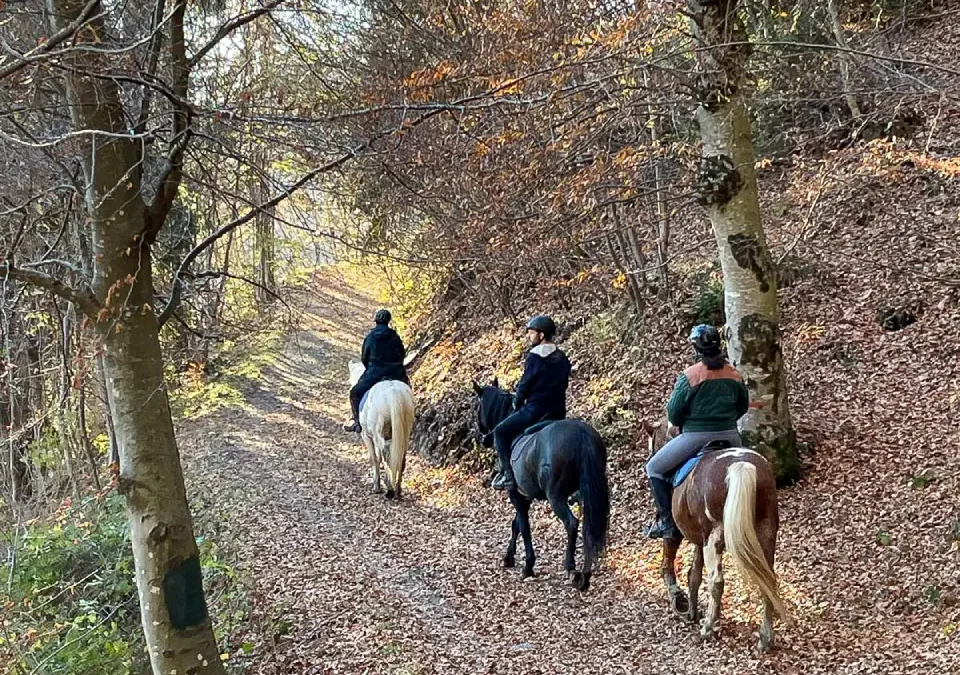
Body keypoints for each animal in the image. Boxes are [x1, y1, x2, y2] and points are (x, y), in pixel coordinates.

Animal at [348, 360, 416, 499]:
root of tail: (393, 393)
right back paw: (397, 490)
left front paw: (376, 486)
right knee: (400, 457)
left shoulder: (367, 436)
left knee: (386, 456)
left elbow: (375, 458)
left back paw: (389, 489)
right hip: (405, 432)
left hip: (378, 434)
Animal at [472, 379, 610, 591]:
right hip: (588, 494)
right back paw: (584, 576)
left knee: (572, 523)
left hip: (556, 496)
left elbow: (524, 526)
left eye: (477, 406)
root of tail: (582, 434)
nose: (483, 438)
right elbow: (516, 524)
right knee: (589, 529)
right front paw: (509, 557)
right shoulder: (525, 496)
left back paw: (570, 567)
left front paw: (528, 566)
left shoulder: (516, 495)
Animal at [642, 419, 787, 652]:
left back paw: (709, 627)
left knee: (717, 582)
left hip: (715, 539)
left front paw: (680, 603)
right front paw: (691, 611)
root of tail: (742, 466)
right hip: (765, 534)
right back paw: (765, 638)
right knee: (768, 580)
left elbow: (670, 564)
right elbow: (694, 574)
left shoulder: (679, 534)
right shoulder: (699, 540)